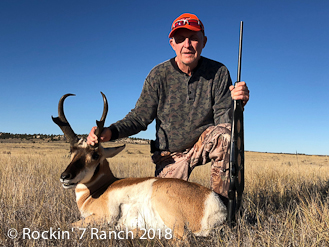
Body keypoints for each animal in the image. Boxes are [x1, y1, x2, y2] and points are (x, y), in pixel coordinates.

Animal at [52, 92, 227, 237]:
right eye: (71, 151)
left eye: (95, 155)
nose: (65, 176)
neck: (102, 187)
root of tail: (217, 205)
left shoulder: (103, 217)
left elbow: (69, 225)